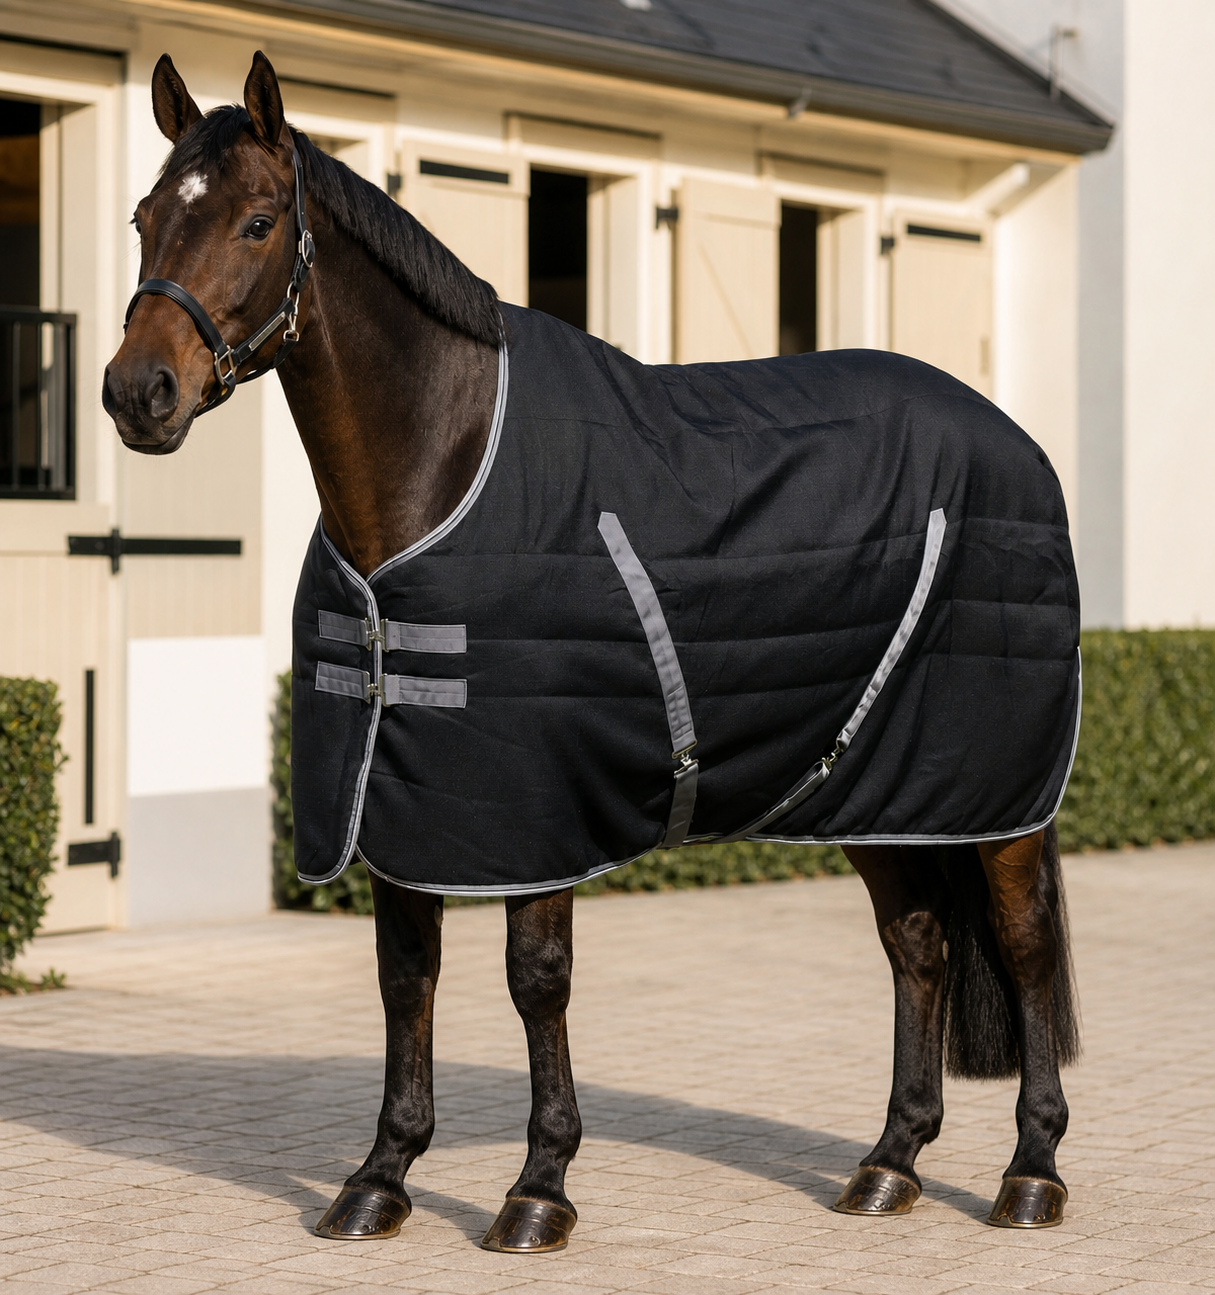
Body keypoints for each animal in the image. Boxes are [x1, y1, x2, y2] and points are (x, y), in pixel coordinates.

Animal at [103, 51, 1081, 1252]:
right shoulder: (398, 796)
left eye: (253, 221)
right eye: (146, 217)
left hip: (999, 791)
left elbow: (537, 979)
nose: (137, 393)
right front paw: (380, 1176)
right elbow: (405, 976)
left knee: (1025, 946)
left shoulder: (536, 805)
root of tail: (1018, 443)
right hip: (874, 786)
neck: (444, 463)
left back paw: (1031, 1171)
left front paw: (539, 1186)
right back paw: (889, 1162)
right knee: (918, 942)